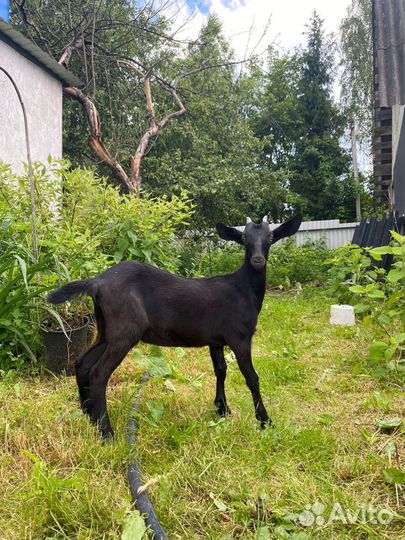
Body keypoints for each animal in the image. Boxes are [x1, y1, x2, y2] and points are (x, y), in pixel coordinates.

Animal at [48, 215, 300, 438]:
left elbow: (221, 370)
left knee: (82, 363)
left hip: (105, 330)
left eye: (270, 238)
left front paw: (222, 409)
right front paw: (266, 422)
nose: (258, 260)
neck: (243, 289)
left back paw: (88, 416)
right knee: (99, 373)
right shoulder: (240, 337)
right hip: (125, 332)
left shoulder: (215, 340)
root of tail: (97, 282)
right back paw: (107, 433)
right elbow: (252, 378)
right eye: (245, 239)